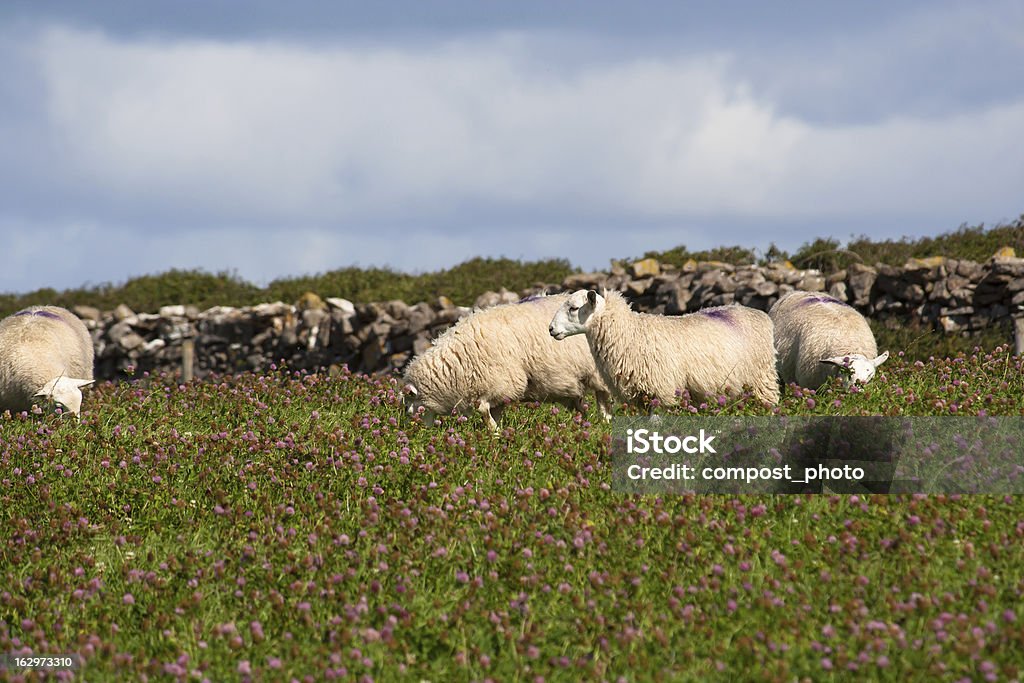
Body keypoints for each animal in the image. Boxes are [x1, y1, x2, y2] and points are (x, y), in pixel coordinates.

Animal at [401, 290, 610, 430]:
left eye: (411, 407)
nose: (420, 431)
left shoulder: (500, 381)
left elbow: (482, 409)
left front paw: (494, 432)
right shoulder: (499, 389)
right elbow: (494, 412)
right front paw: (498, 432)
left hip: (598, 372)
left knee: (602, 397)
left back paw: (605, 421)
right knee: (579, 405)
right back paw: (585, 423)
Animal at [548, 286, 778, 409]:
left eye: (573, 308)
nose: (550, 329)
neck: (631, 334)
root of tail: (760, 314)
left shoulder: (662, 393)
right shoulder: (641, 399)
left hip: (763, 382)